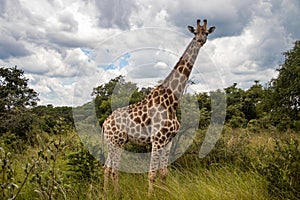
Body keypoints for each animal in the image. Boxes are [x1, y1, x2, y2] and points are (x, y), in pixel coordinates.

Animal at [102, 18, 214, 195]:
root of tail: (105, 123)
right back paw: (117, 193)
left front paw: (164, 192)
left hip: (114, 142)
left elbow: (164, 173)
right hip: (116, 141)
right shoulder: (157, 140)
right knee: (113, 169)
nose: (200, 40)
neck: (172, 101)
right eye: (195, 32)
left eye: (207, 32)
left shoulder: (168, 141)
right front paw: (150, 195)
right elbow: (151, 174)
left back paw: (106, 192)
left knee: (106, 167)